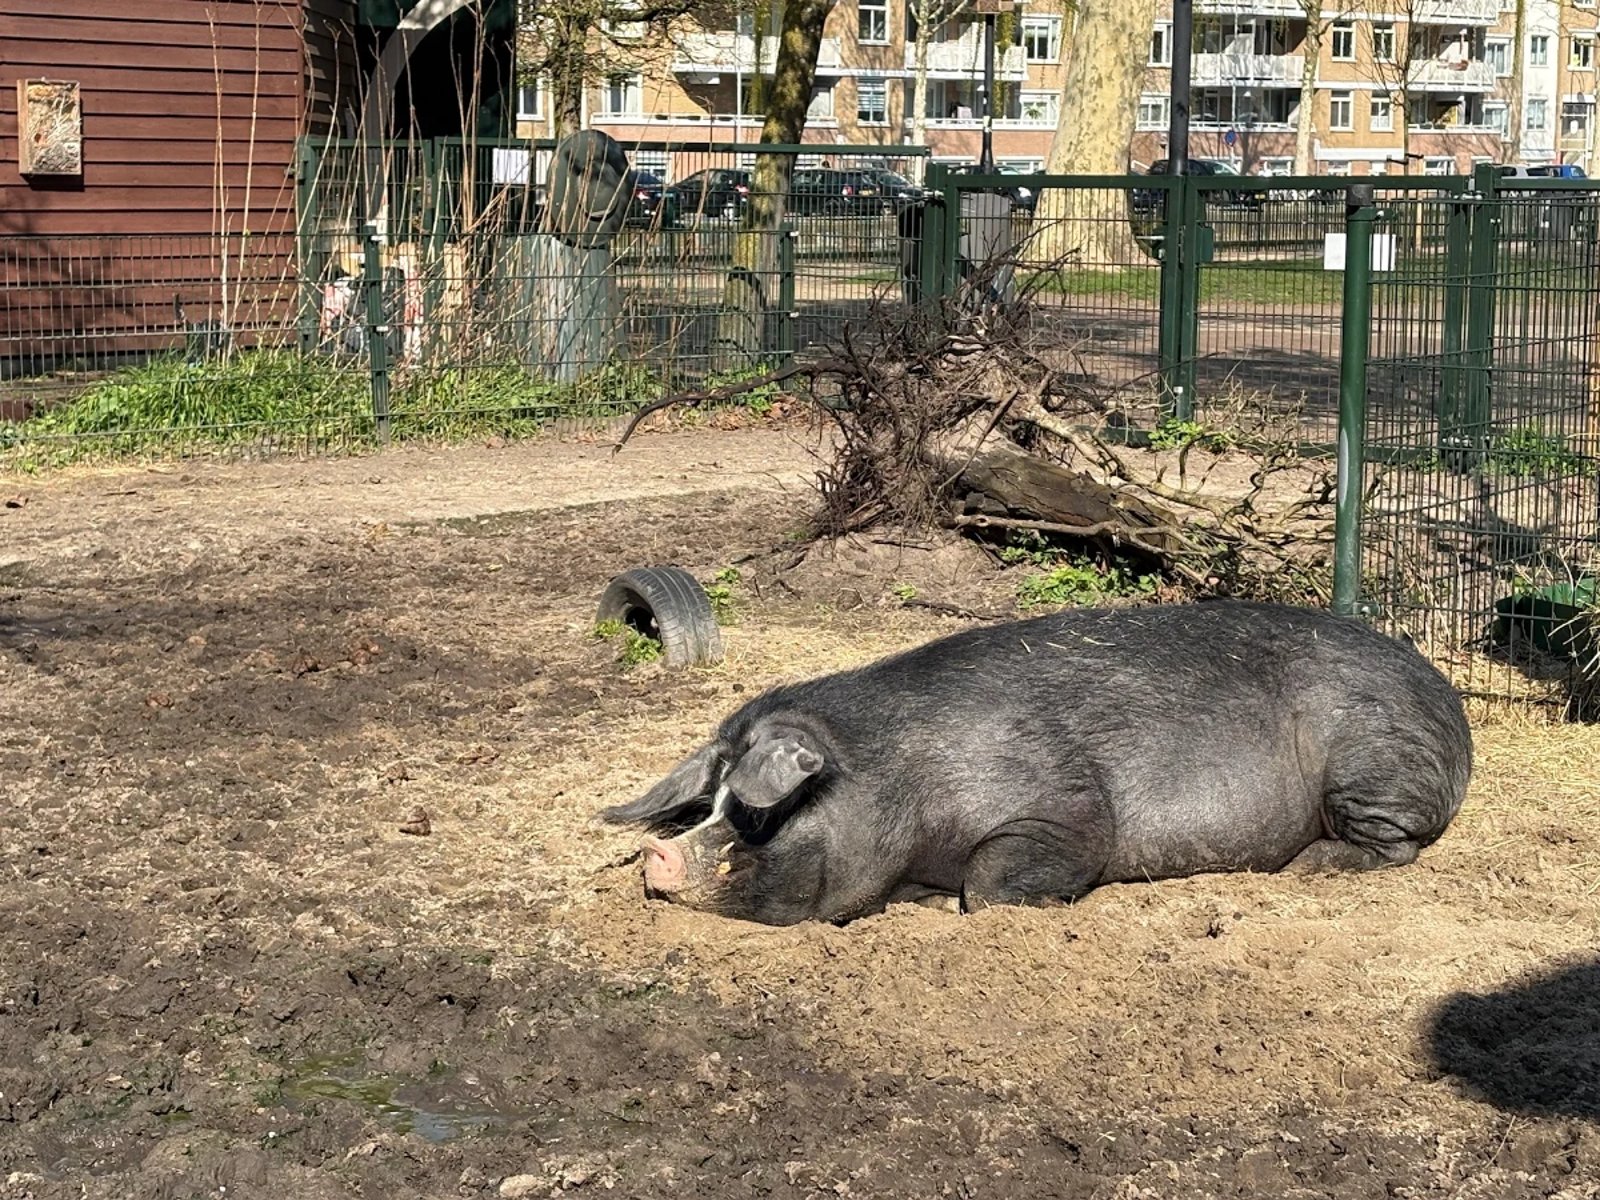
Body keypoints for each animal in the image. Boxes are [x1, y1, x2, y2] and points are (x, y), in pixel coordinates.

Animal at [600, 600, 1472, 926]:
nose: (656, 853)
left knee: (1395, 843)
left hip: (1373, 759)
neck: (902, 783)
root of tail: (1448, 696)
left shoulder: (1063, 808)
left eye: (758, 814)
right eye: (703, 804)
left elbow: (992, 886)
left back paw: (1310, 867)